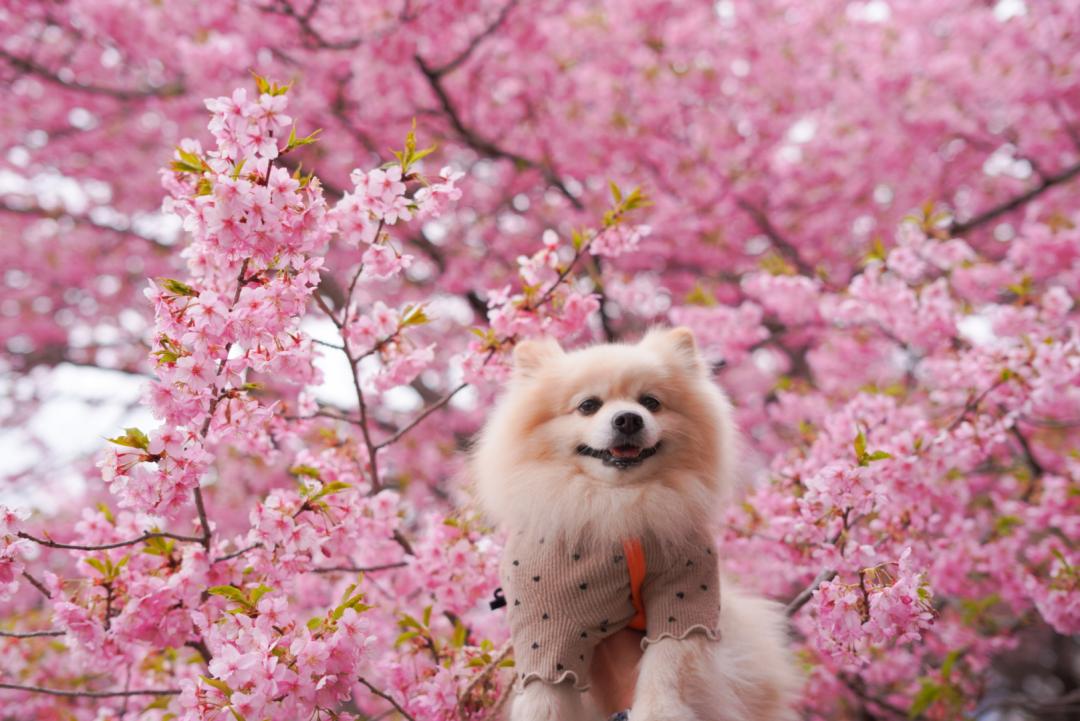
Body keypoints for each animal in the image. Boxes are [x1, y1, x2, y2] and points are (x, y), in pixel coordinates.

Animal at [475, 328, 803, 721]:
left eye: (651, 402)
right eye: (588, 406)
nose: (629, 419)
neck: (618, 505)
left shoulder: (685, 594)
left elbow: (666, 661)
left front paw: (659, 711)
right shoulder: (543, 620)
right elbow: (544, 692)